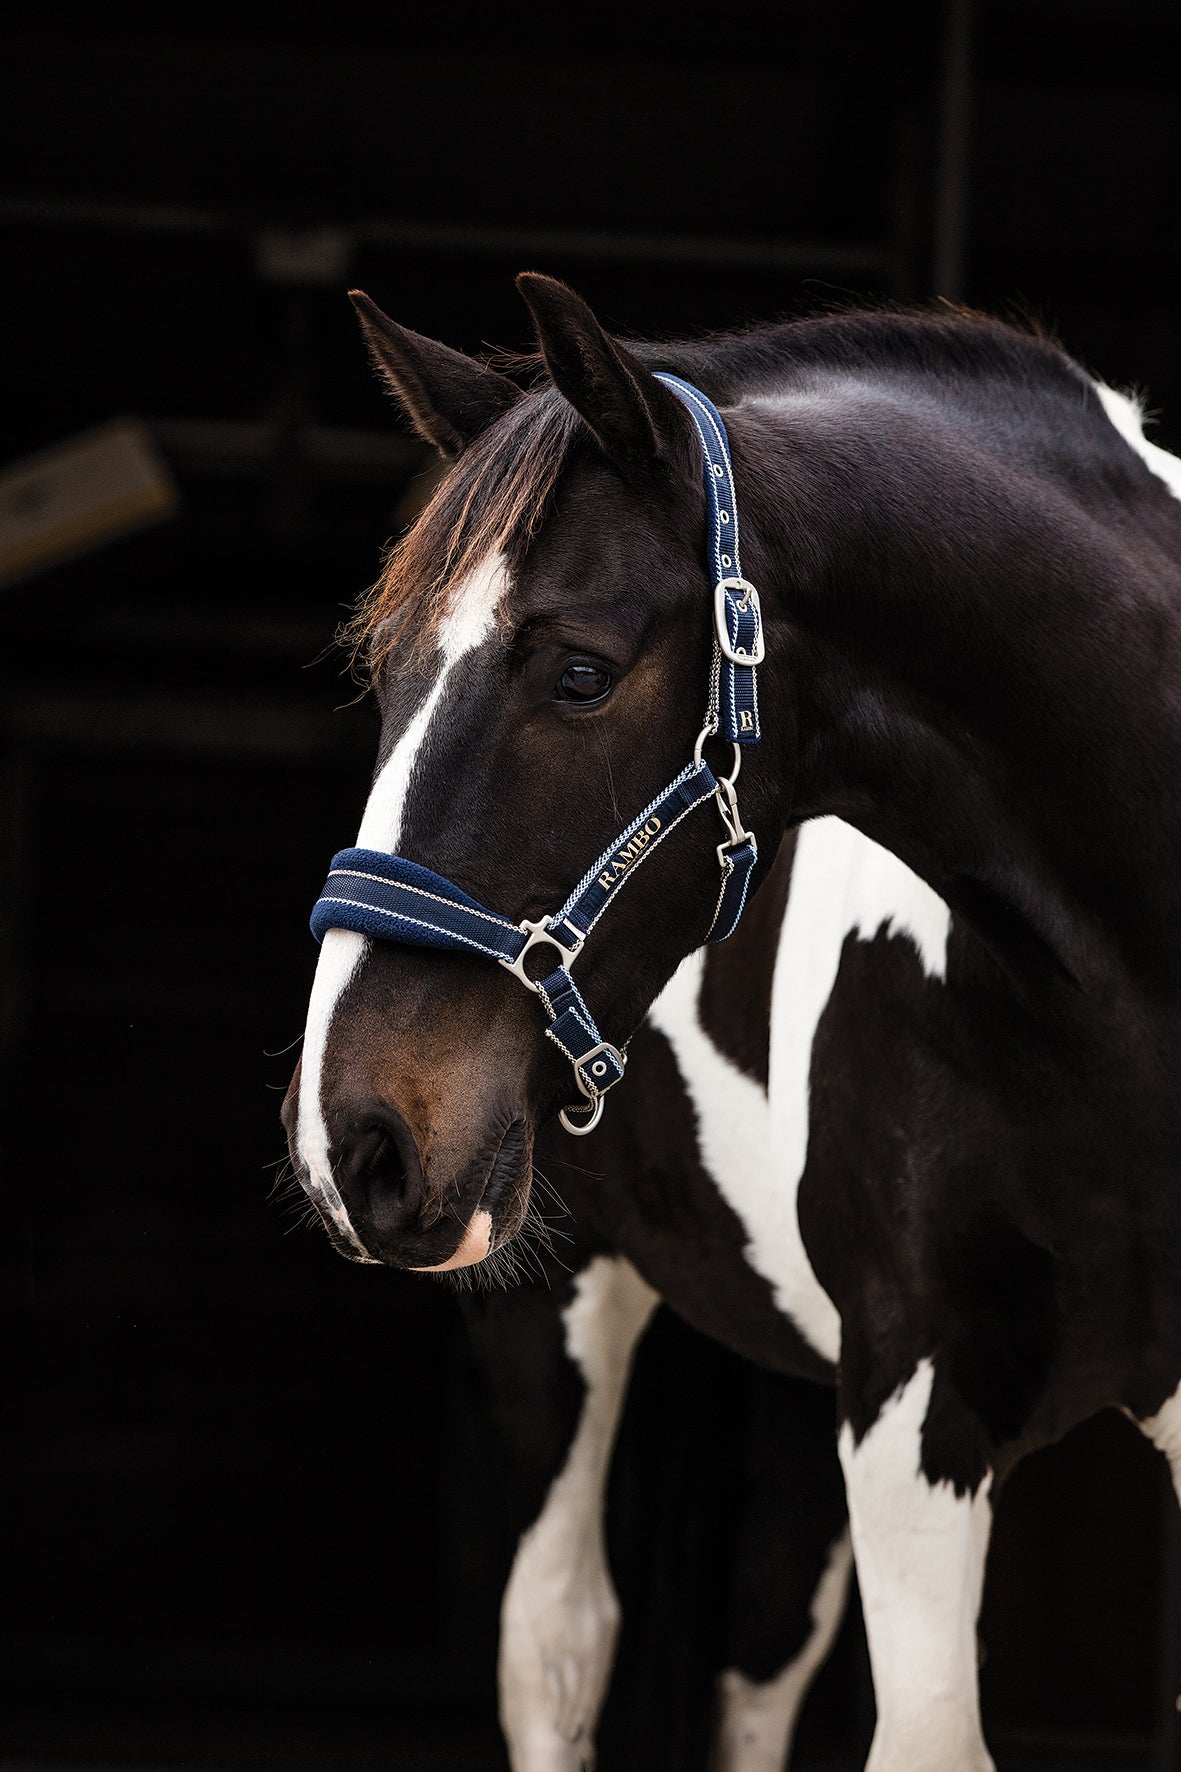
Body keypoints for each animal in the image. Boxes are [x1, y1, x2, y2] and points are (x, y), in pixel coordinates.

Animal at [283, 276, 1177, 1772]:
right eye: (385, 672)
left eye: (581, 674)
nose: (352, 1141)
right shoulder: (916, 1400)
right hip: (552, 1306)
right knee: (561, 1643)